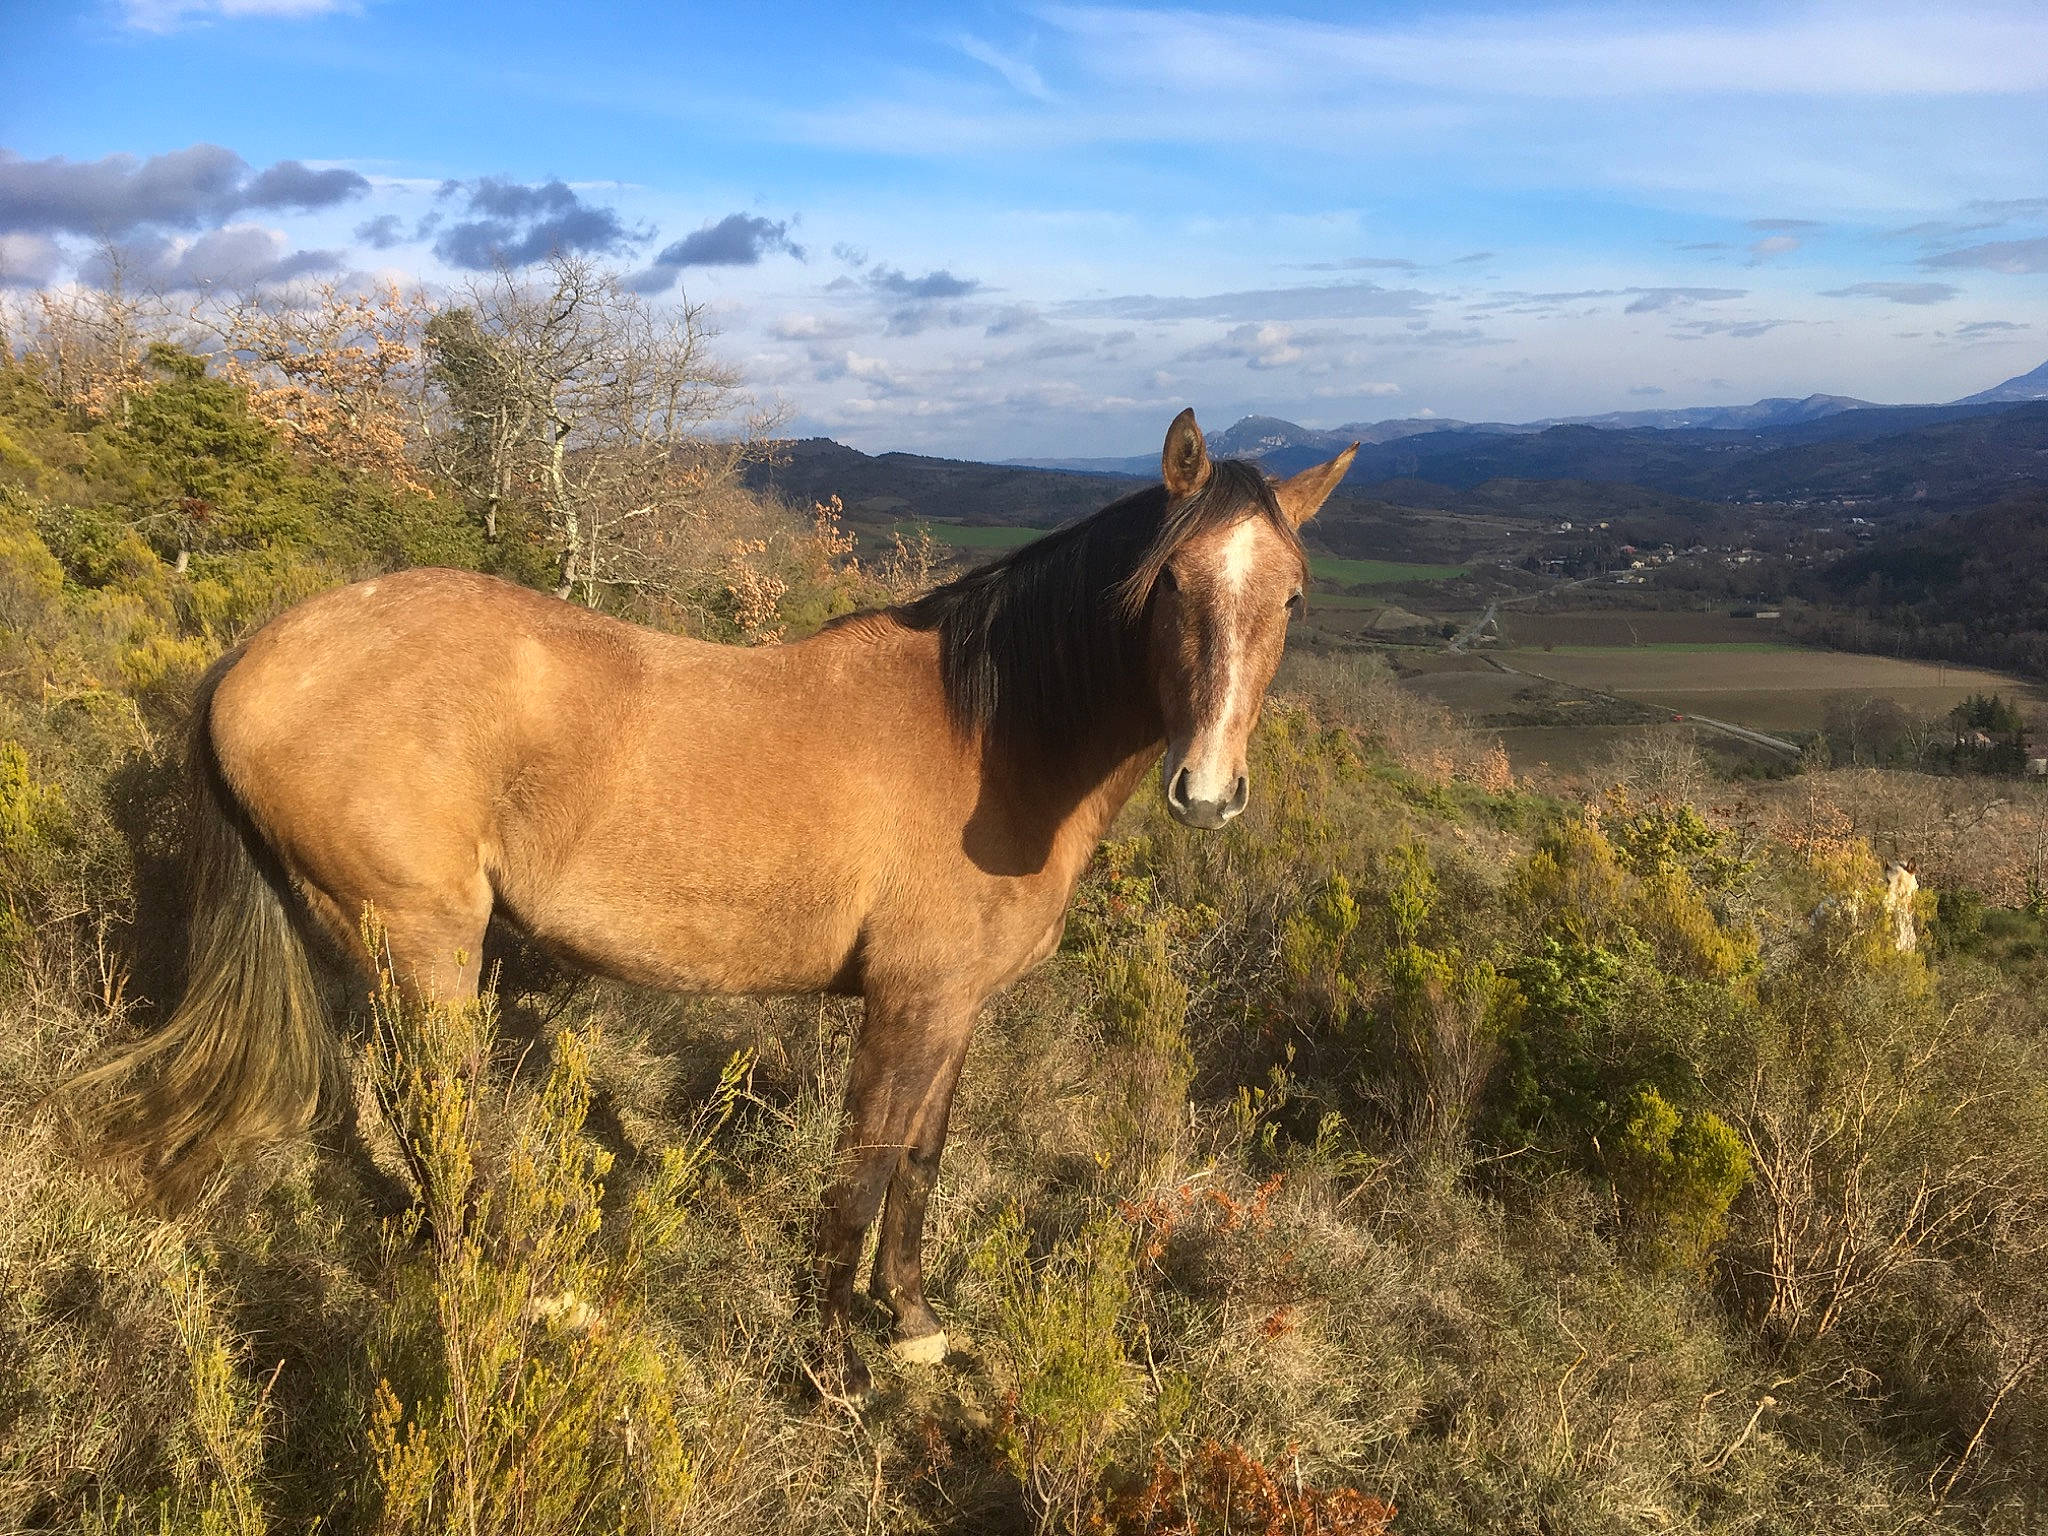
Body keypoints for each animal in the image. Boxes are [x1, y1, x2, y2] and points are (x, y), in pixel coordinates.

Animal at [74, 408, 1356, 1398]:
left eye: (1293, 598)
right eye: (1168, 584)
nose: (1207, 793)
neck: (987, 741)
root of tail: (256, 657)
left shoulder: (957, 1010)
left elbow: (921, 1163)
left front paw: (913, 1327)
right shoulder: (906, 1006)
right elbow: (858, 1174)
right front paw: (831, 1370)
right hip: (417, 942)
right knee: (437, 1113)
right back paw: (517, 1294)